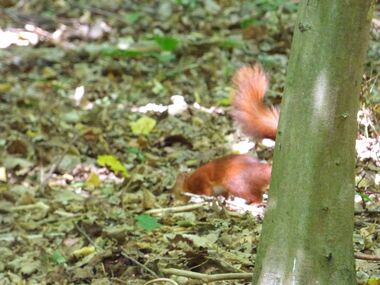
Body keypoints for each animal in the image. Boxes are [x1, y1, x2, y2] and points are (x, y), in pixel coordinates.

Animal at [173, 65, 280, 202]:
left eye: (180, 193)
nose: (174, 200)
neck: (190, 180)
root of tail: (262, 171)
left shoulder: (202, 182)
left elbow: (206, 190)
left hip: (236, 184)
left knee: (256, 198)